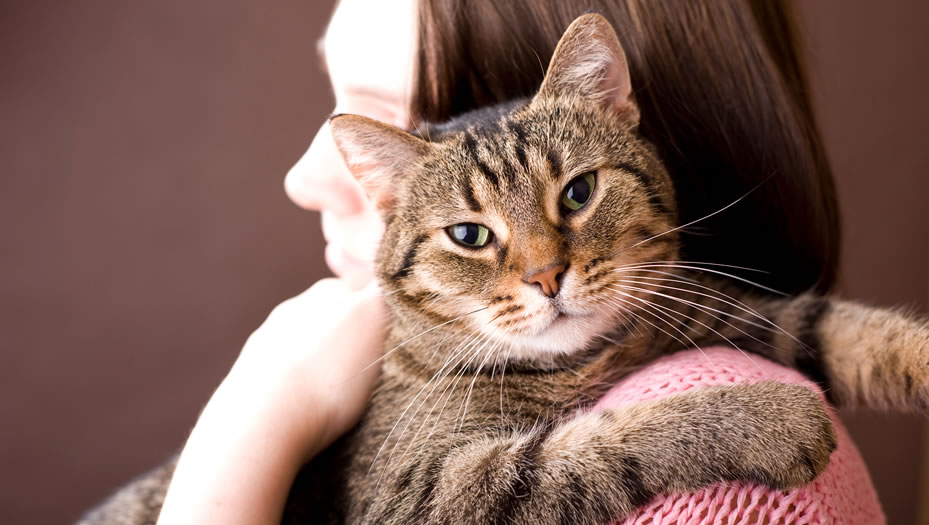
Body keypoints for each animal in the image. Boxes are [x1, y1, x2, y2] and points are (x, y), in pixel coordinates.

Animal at [81, 12, 928, 524]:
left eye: (578, 193)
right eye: (469, 235)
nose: (547, 276)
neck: (591, 358)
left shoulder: (727, 312)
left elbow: (848, 328)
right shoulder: (422, 492)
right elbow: (601, 442)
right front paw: (769, 415)